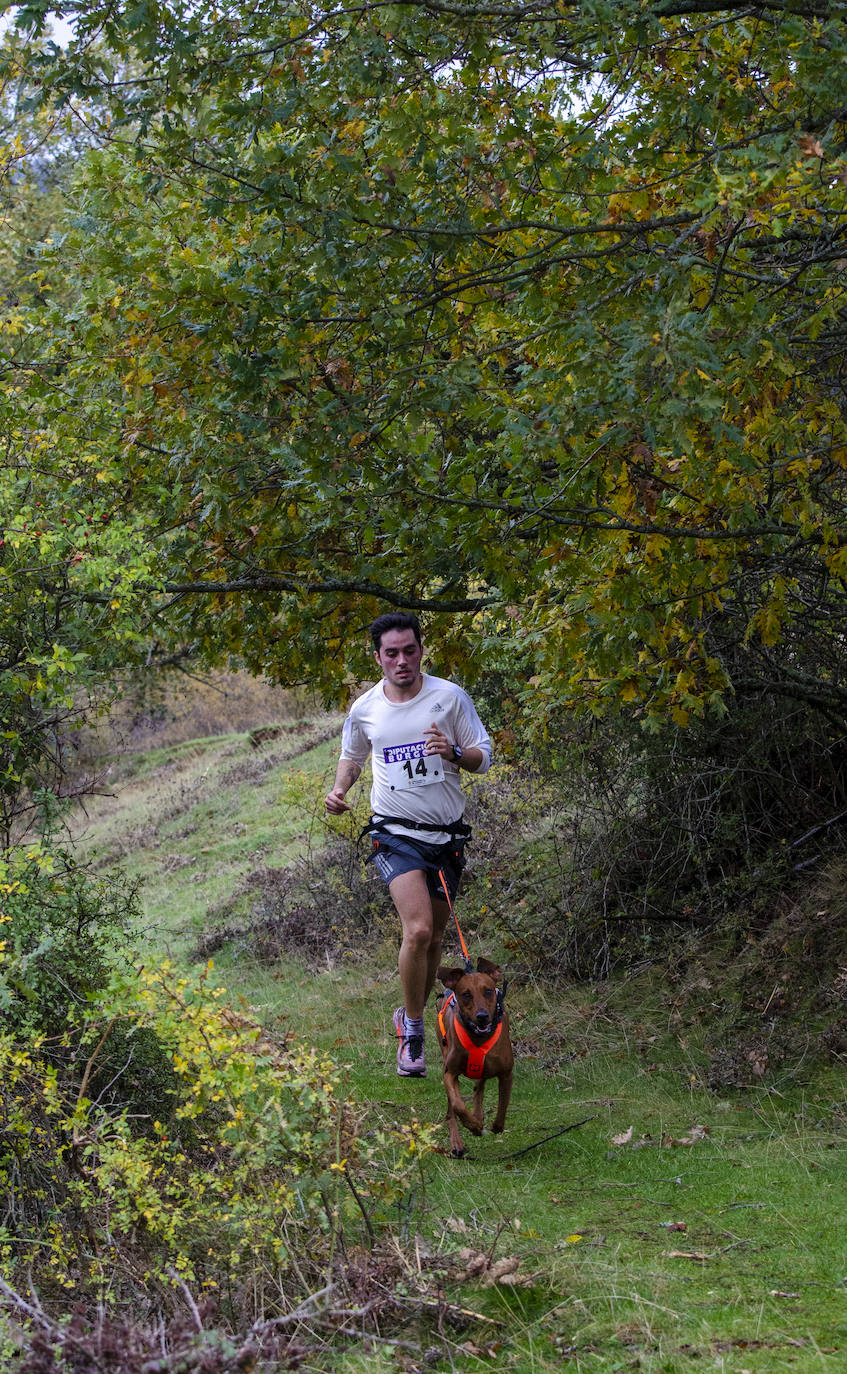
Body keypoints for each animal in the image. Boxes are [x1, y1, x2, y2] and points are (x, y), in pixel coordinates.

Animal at [437, 956, 517, 1159]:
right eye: (466, 994)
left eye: (488, 991)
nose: (482, 1016)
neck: (478, 1037)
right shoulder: (450, 1073)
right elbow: (458, 1105)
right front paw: (473, 1125)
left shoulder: (506, 1073)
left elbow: (503, 1105)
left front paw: (493, 1125)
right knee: (451, 1111)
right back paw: (457, 1142)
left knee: (478, 1086)